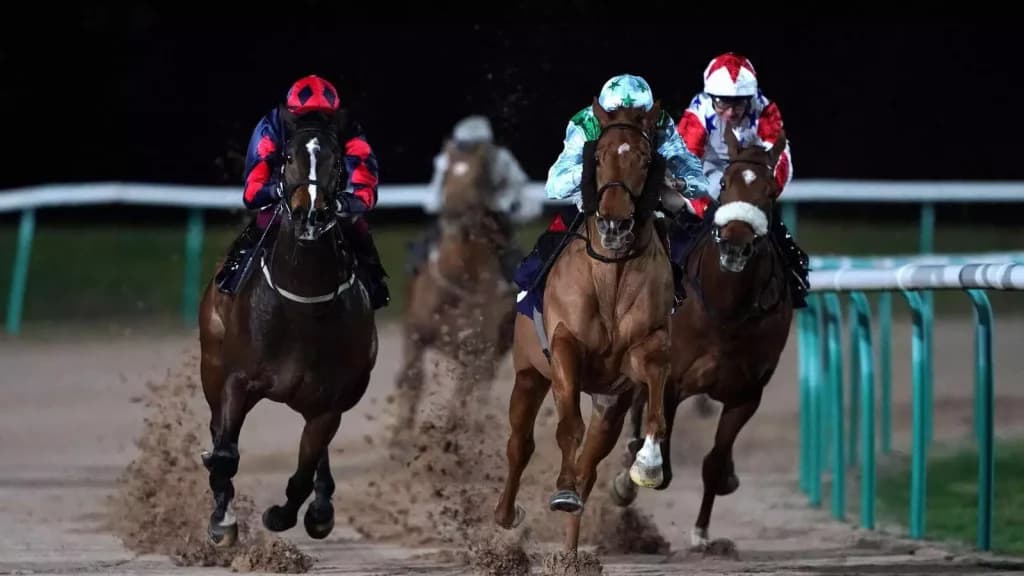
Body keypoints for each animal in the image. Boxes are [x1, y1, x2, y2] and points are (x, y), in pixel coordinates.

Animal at [197, 106, 378, 546]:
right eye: (288, 157)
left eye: (336, 161)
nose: (310, 213)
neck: (302, 303)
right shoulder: (237, 380)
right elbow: (225, 455)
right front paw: (222, 521)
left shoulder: (329, 401)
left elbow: (304, 470)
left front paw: (286, 515)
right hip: (211, 365)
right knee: (218, 431)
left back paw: (321, 507)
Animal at [391, 139, 516, 441]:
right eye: (446, 173)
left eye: (478, 178)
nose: (453, 214)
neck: (459, 279)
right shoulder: (415, 332)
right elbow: (413, 377)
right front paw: (401, 435)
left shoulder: (479, 349)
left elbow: (462, 395)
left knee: (479, 389)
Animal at [493, 98, 675, 554]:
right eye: (598, 156)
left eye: (644, 158)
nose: (614, 224)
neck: (611, 275)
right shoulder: (564, 348)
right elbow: (567, 427)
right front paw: (561, 488)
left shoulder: (646, 352)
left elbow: (656, 409)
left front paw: (647, 465)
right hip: (527, 374)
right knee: (520, 444)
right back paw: (507, 513)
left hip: (609, 403)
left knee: (590, 466)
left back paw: (572, 550)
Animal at [609, 127, 794, 550]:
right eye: (724, 183)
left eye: (770, 191)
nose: (735, 244)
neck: (727, 311)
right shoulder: (672, 381)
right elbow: (661, 459)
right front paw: (629, 478)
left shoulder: (747, 394)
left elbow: (713, 461)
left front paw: (702, 531)